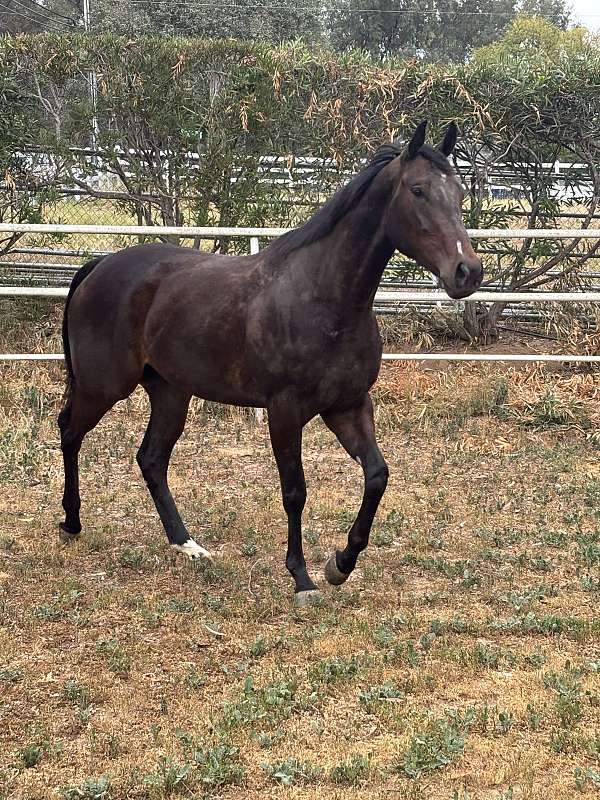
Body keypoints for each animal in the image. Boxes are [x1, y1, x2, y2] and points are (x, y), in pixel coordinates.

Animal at [57, 120, 483, 605]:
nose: (467, 272)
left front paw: (341, 564)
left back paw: (188, 545)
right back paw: (71, 522)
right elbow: (294, 491)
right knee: (69, 431)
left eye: (458, 191)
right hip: (104, 386)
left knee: (151, 458)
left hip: (170, 392)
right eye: (418, 190)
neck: (324, 299)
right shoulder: (285, 411)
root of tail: (100, 265)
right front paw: (301, 577)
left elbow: (377, 475)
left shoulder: (348, 406)